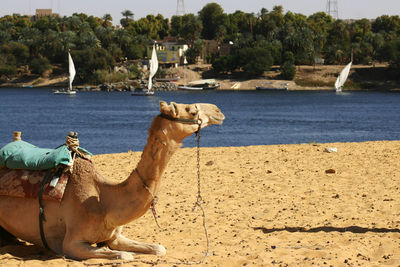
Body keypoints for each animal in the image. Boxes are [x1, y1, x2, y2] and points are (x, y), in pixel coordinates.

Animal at [0, 101, 225, 260]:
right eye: (191, 111)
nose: (218, 111)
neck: (104, 201)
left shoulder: (114, 236)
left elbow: (159, 248)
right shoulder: (71, 243)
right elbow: (125, 256)